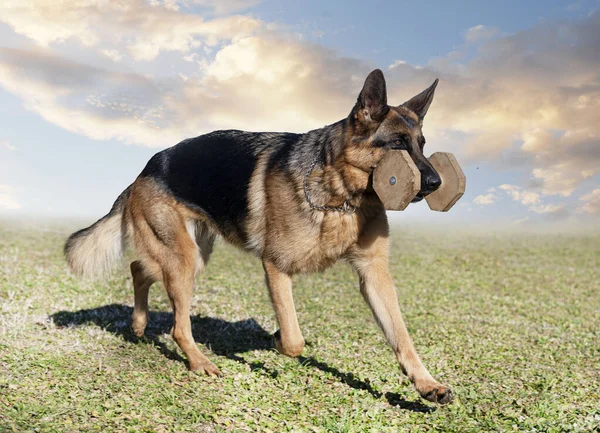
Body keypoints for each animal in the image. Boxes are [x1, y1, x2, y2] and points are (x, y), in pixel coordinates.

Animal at [64, 70, 454, 404]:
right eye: (398, 144)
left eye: (421, 145)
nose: (437, 183)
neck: (340, 195)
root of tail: (145, 169)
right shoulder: (276, 266)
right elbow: (294, 340)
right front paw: (278, 338)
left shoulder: (374, 274)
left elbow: (401, 336)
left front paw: (427, 384)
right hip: (183, 258)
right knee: (176, 323)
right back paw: (198, 361)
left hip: (193, 254)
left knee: (139, 268)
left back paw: (139, 323)